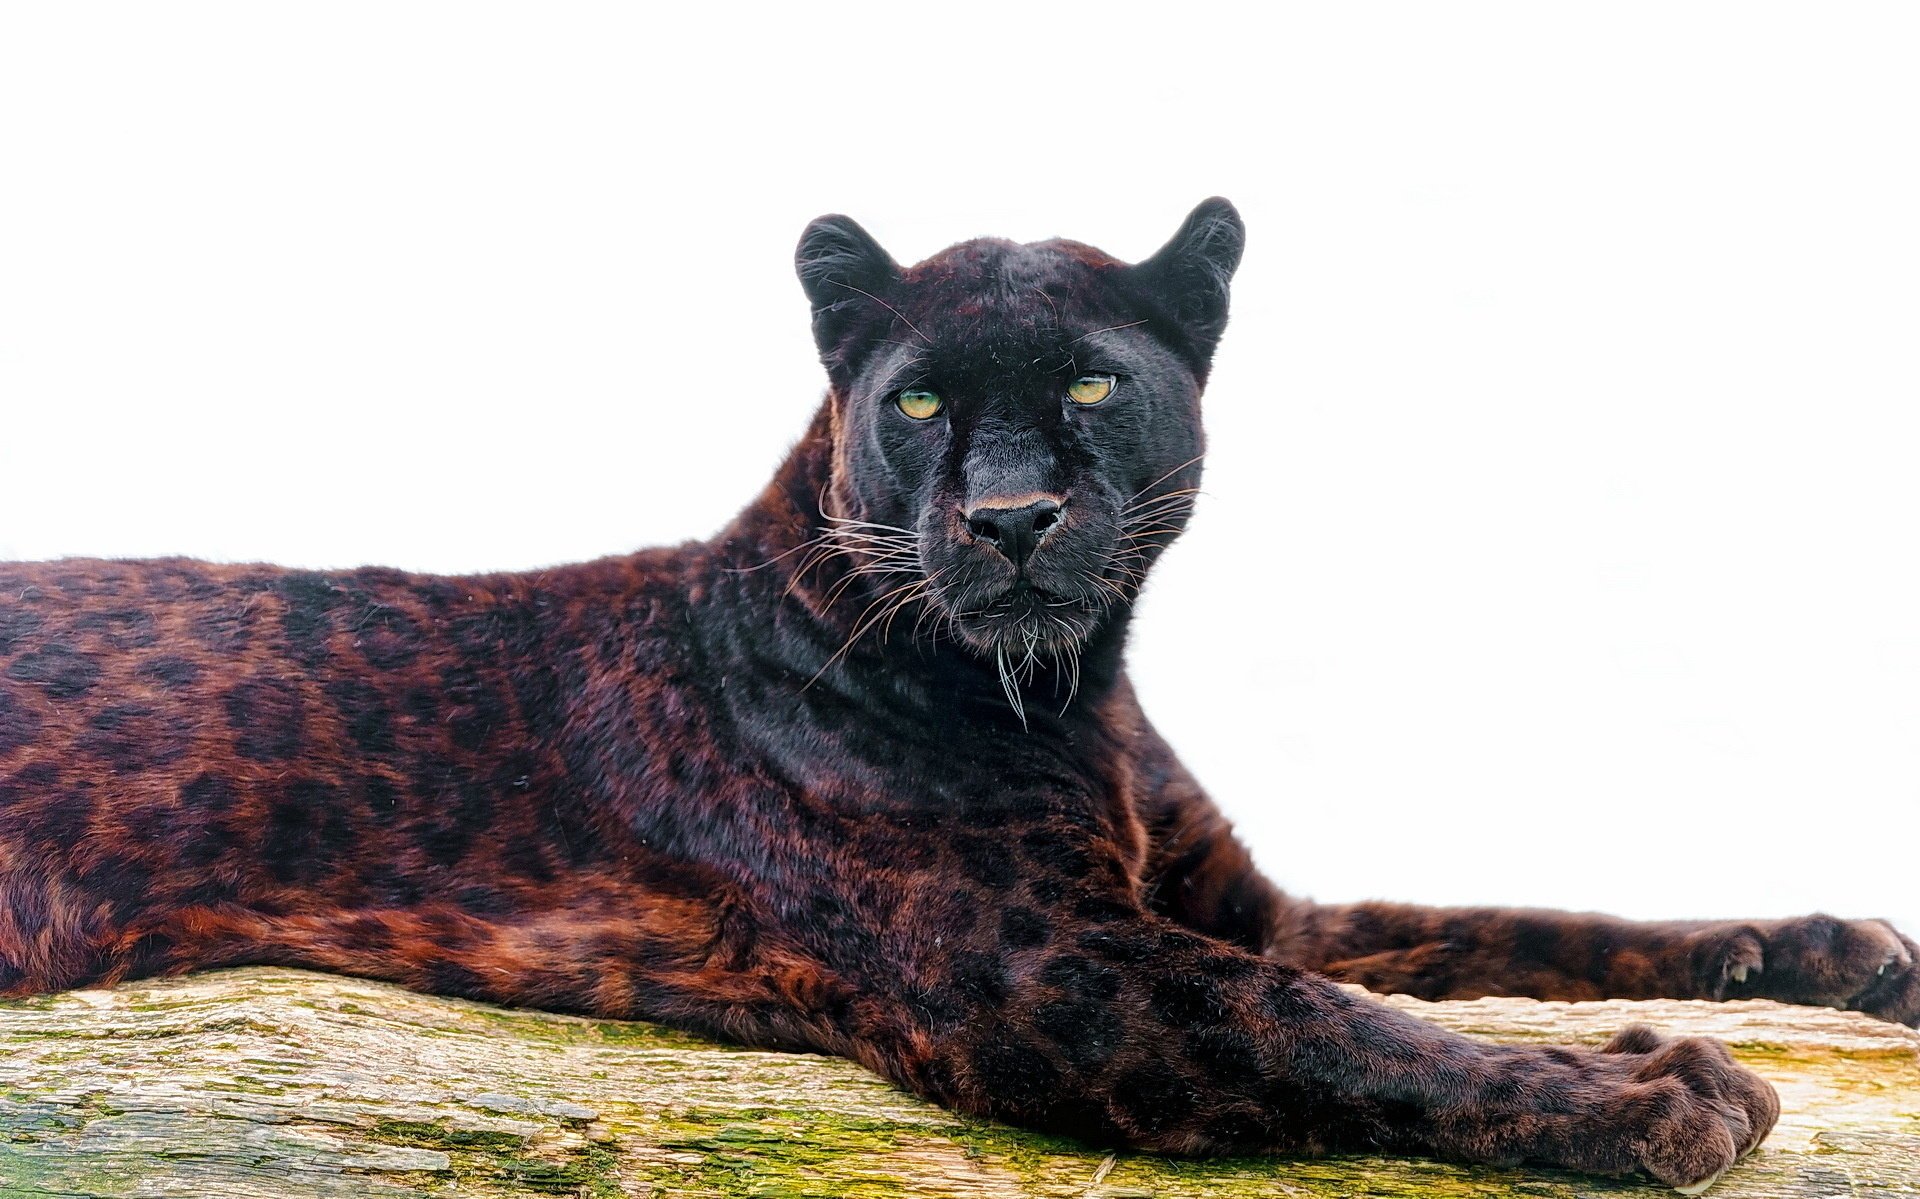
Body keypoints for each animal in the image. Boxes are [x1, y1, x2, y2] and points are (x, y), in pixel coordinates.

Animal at [1, 199, 1913, 1192]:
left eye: (1092, 380)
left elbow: (1519, 922)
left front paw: (1825, 948)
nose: (1006, 515)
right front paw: (1649, 1091)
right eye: (920, 399)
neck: (1076, 696)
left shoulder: (1237, 900)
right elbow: (1341, 1020)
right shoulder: (1054, 971)